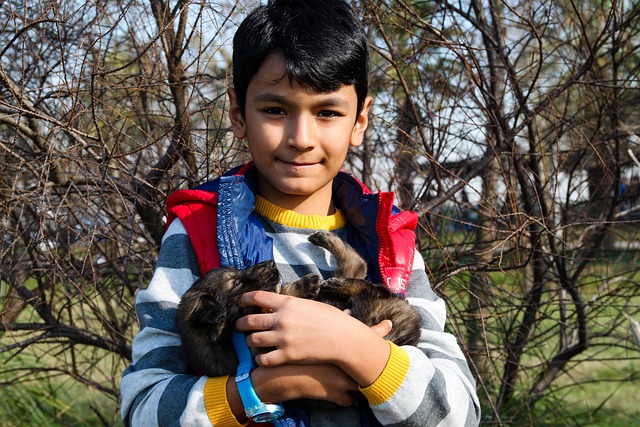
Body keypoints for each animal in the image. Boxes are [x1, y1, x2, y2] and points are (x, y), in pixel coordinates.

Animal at [178, 231, 422, 378]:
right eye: (235, 282)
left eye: (237, 272)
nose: (270, 263)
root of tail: (412, 330)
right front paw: (304, 285)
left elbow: (279, 293)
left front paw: (303, 285)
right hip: (369, 310)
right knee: (364, 282)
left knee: (357, 264)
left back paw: (323, 242)